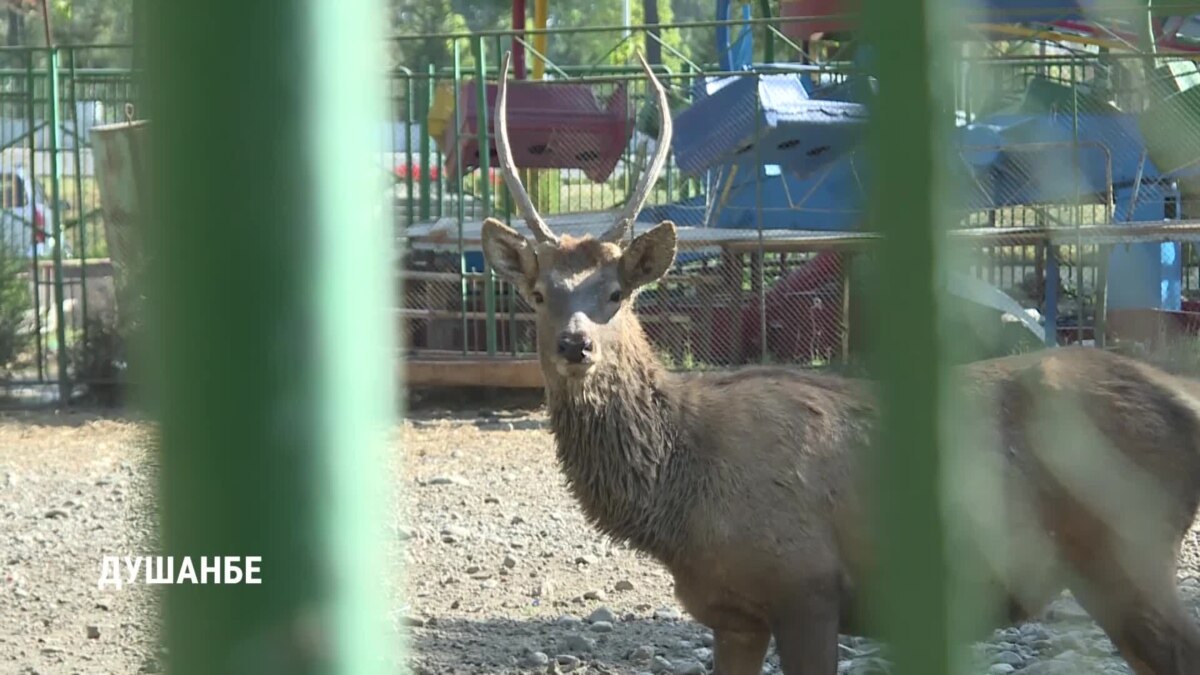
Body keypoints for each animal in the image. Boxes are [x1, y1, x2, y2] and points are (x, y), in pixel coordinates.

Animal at [477, 49, 1200, 667]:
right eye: (538, 293)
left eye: (617, 292)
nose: (576, 344)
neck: (681, 497)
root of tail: (1184, 403)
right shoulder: (733, 612)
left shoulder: (807, 584)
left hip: (1128, 553)